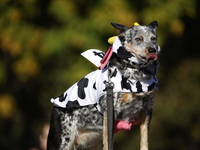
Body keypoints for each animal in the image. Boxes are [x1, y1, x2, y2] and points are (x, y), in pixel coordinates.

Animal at [46, 20, 159, 150]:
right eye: (138, 39)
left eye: (154, 38)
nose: (152, 50)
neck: (138, 74)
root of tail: (54, 108)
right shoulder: (111, 111)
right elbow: (109, 143)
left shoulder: (147, 109)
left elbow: (144, 140)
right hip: (62, 141)